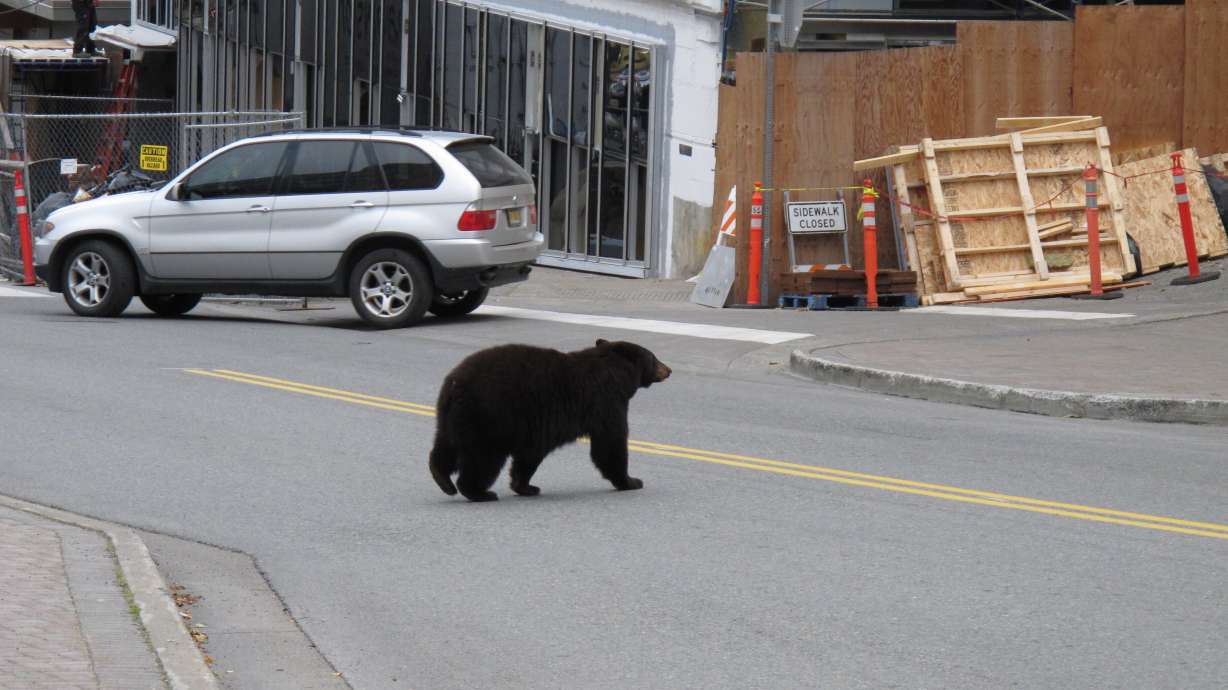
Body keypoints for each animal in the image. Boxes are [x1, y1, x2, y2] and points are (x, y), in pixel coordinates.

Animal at [428, 339, 672, 502]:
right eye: (654, 357)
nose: (669, 370)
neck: (615, 371)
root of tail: (454, 384)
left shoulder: (536, 425)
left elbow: (529, 455)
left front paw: (526, 486)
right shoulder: (606, 402)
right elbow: (610, 442)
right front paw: (631, 481)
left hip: (452, 417)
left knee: (445, 445)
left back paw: (443, 480)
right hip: (488, 417)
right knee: (483, 458)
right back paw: (479, 492)